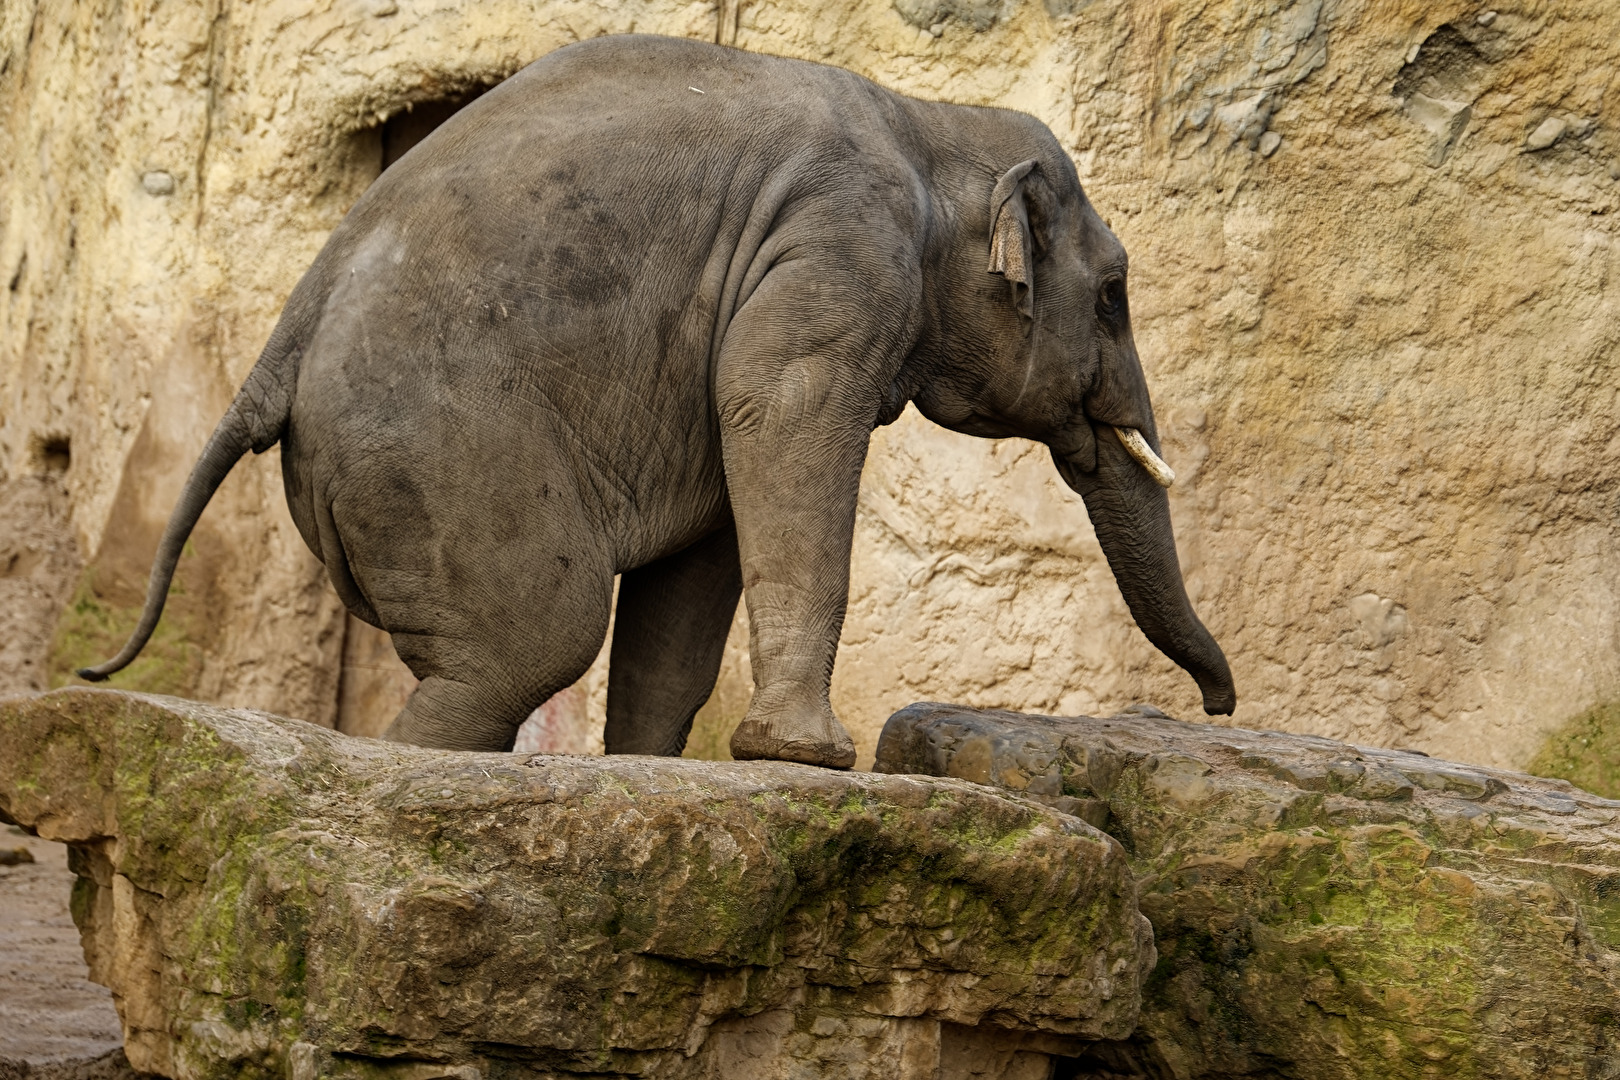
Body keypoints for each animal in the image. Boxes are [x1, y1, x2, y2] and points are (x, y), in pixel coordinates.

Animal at [82, 34, 1236, 768]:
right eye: (1116, 294)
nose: (1212, 711)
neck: (927, 126)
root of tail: (277, 350)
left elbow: (704, 547)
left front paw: (658, 765)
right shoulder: (838, 258)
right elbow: (779, 419)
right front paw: (806, 759)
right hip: (438, 451)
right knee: (532, 642)